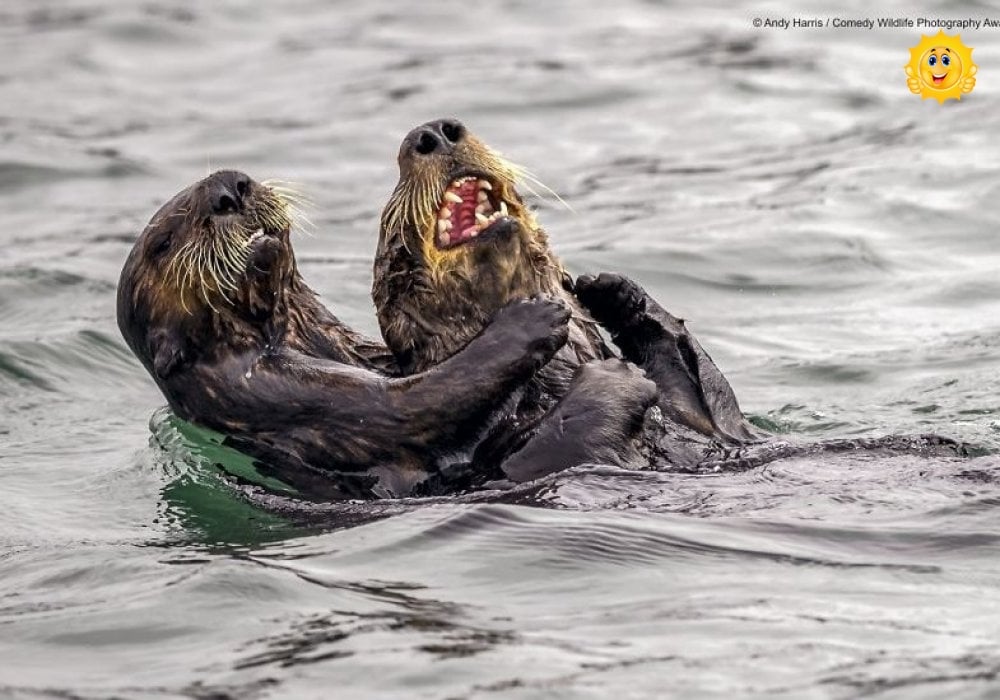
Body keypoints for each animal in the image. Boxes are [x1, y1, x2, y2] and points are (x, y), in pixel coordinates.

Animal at [119, 169, 656, 498]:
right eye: (164, 241)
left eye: (240, 178)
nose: (231, 187)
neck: (291, 331)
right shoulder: (274, 390)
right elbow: (416, 401)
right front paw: (533, 318)